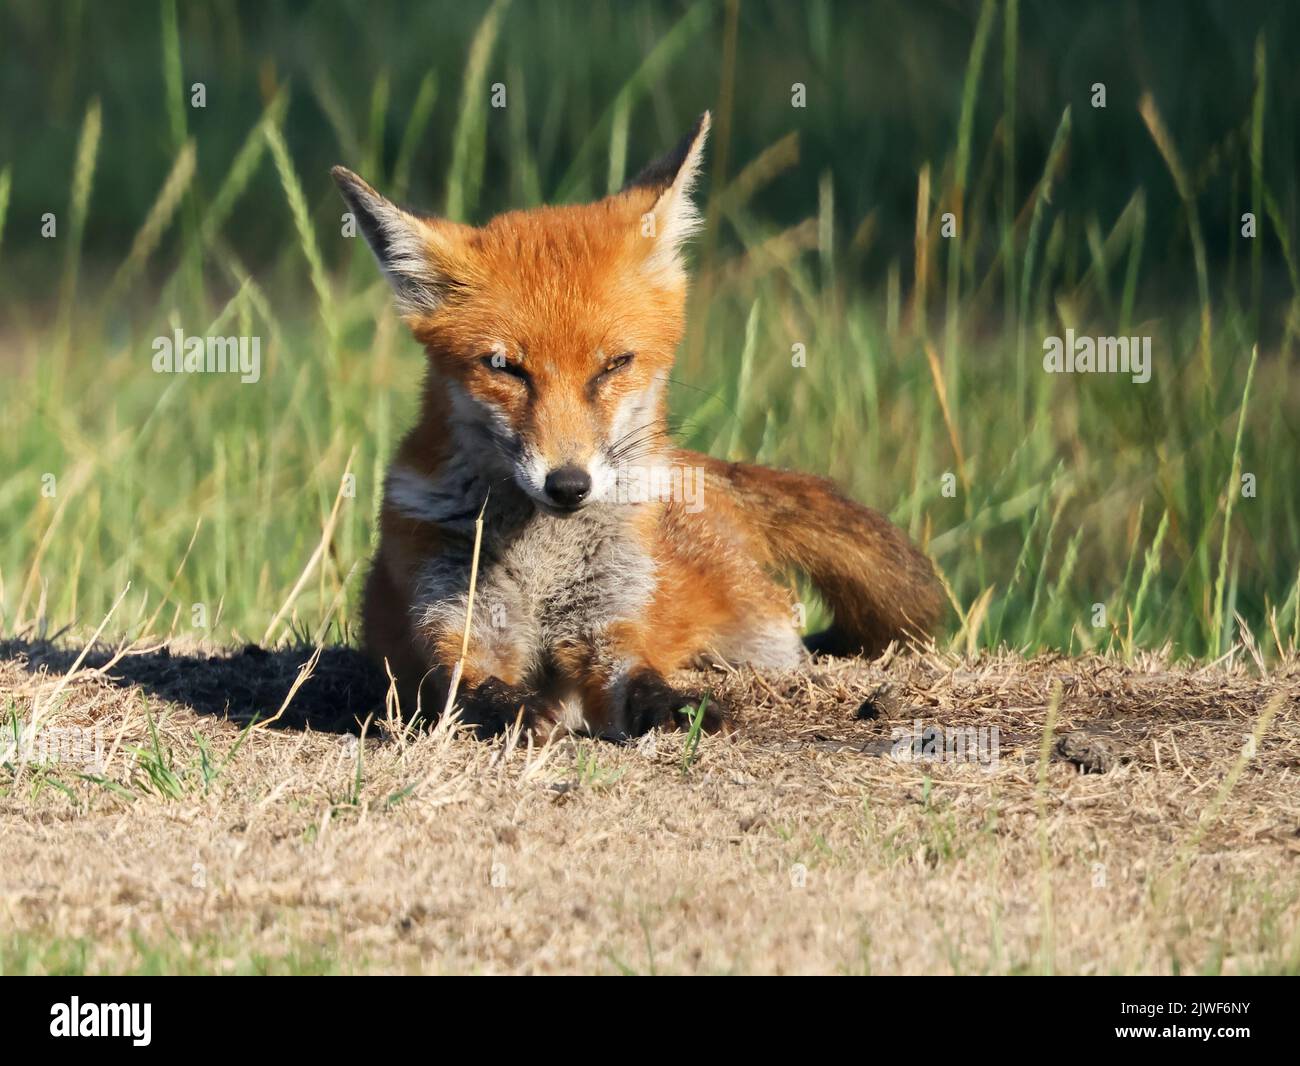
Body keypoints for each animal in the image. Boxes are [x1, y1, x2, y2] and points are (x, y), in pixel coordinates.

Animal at [332, 112, 943, 740]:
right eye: (505, 367)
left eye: (614, 365)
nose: (568, 484)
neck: (543, 561)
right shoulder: (456, 630)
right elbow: (477, 693)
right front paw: (521, 713)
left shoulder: (613, 624)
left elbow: (638, 676)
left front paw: (680, 708)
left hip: (759, 635)